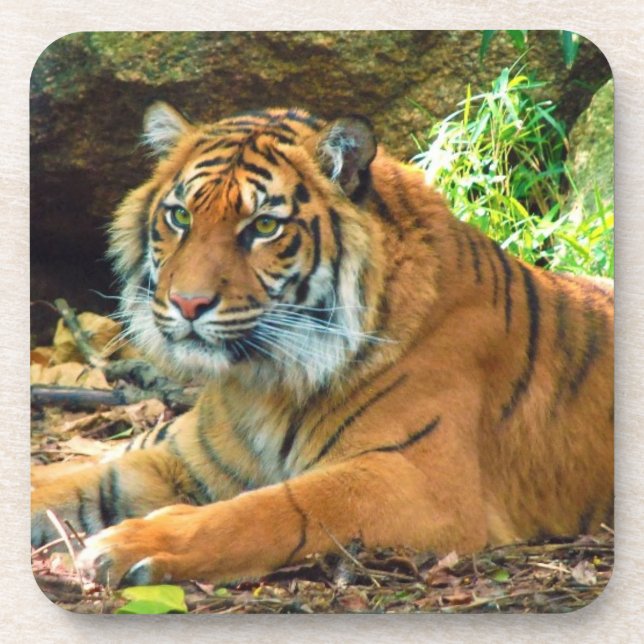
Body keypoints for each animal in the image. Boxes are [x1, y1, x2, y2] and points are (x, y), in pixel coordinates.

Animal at [31, 102, 614, 588]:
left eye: (264, 225)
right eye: (180, 217)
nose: (188, 303)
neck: (262, 383)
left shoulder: (418, 481)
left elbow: (270, 510)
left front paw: (133, 544)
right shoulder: (183, 458)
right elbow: (67, 483)